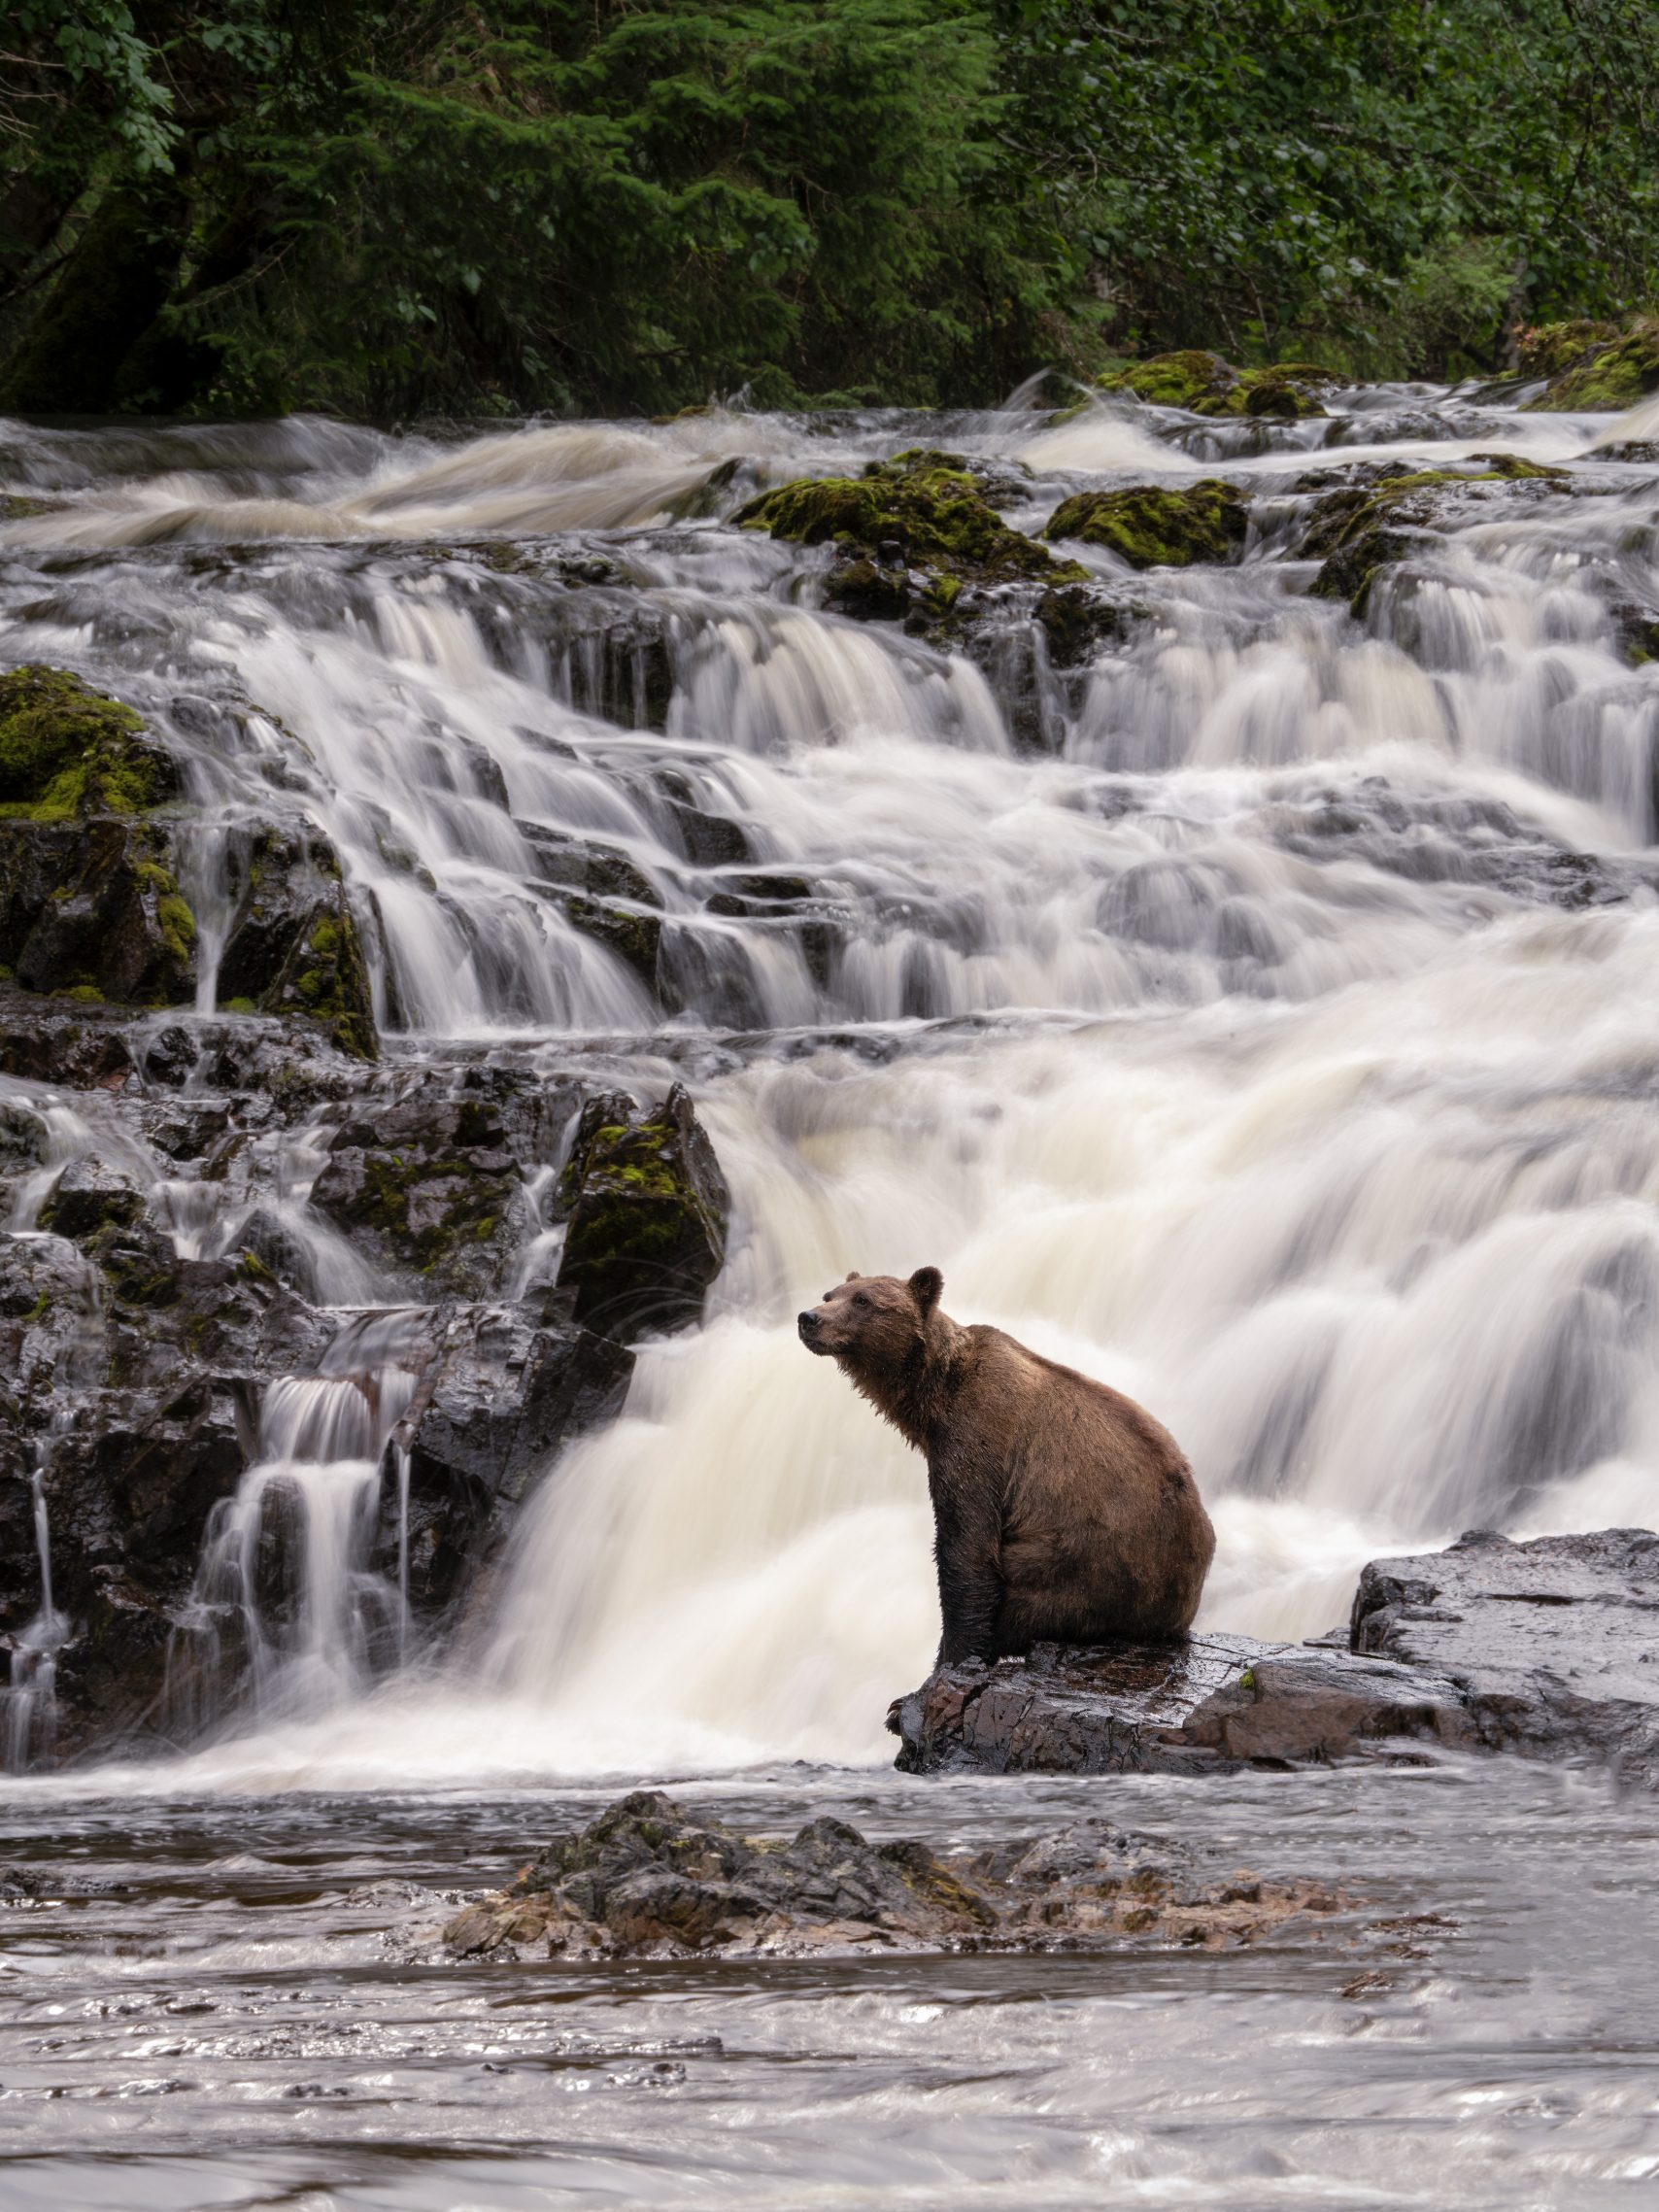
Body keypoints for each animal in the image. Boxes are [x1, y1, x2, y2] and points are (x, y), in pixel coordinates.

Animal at [798, 1267, 1214, 1665]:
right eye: (830, 1294)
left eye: (864, 1301)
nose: (808, 1318)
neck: (933, 1393)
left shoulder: (977, 1439)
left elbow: (966, 1547)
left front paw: (950, 1659)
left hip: (1083, 1564)